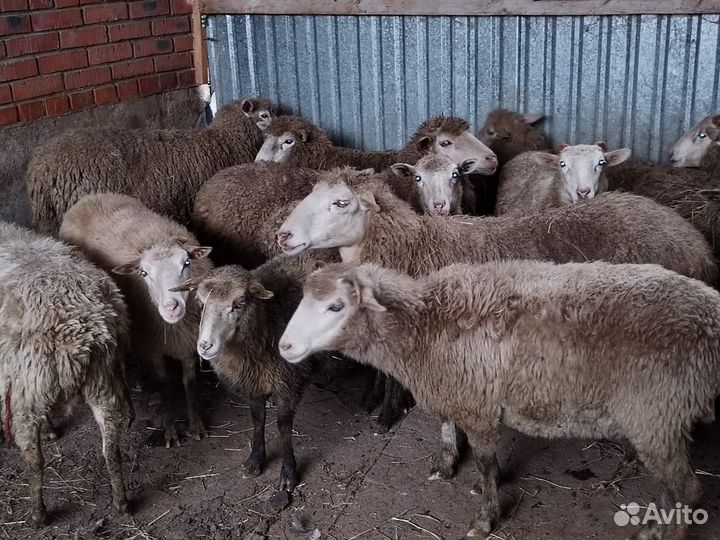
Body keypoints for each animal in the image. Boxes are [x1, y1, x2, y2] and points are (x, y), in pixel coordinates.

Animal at [0, 221, 132, 526]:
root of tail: (76, 339)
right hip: (102, 380)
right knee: (111, 448)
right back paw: (121, 502)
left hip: (27, 392)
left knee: (34, 460)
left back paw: (38, 515)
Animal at [59, 194, 213, 448]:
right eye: (143, 273)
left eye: (186, 263)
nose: (171, 307)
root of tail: (88, 198)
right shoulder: (153, 347)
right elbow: (163, 385)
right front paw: (170, 430)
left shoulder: (187, 341)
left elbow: (190, 382)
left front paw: (196, 425)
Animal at [170, 252, 336, 492]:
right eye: (200, 302)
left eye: (239, 304)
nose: (205, 346)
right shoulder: (252, 383)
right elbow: (257, 419)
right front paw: (255, 459)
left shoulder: (288, 382)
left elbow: (284, 426)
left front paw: (288, 472)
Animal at [278, 259, 720, 540]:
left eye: (336, 305)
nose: (284, 347)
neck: (422, 326)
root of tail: (711, 313)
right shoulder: (456, 388)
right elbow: (445, 427)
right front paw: (447, 466)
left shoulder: (477, 406)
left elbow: (487, 465)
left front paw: (486, 517)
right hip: (659, 420)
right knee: (669, 485)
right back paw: (652, 527)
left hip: (658, 409)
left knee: (689, 491)